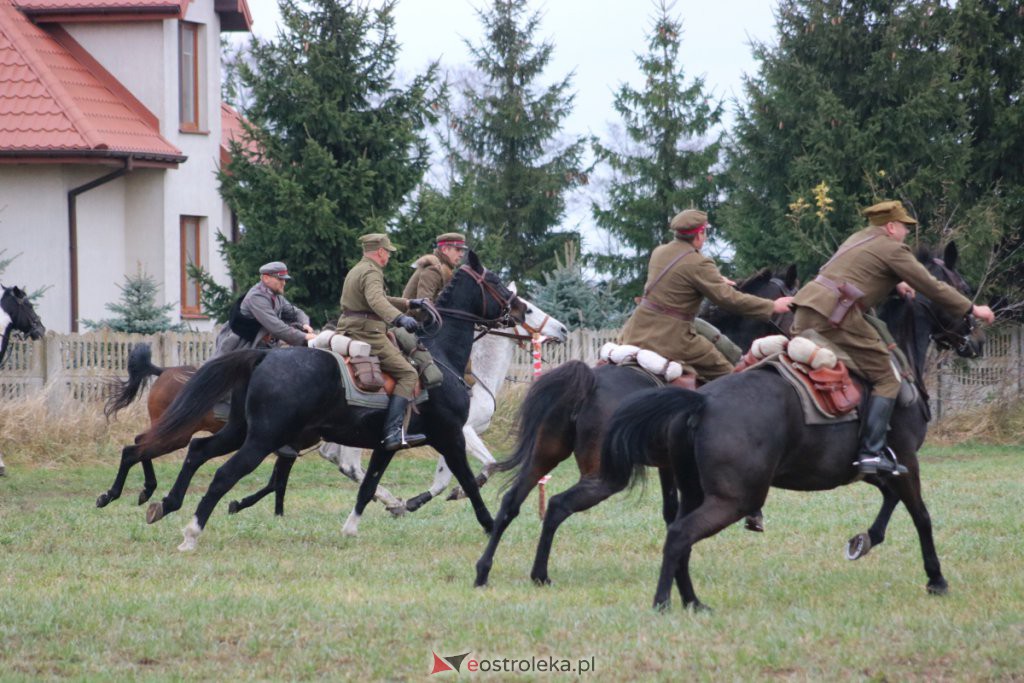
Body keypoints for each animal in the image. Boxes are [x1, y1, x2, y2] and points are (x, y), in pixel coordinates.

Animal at [136, 253, 524, 552]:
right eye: (497, 283)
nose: (518, 310)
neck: (441, 355)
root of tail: (263, 356)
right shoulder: (451, 436)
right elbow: (469, 481)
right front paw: (491, 525)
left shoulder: (387, 445)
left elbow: (368, 486)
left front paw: (351, 528)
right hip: (261, 439)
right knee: (222, 475)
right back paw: (191, 533)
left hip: (240, 431)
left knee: (198, 451)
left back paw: (165, 505)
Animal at [317, 294, 569, 511]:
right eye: (528, 309)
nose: (563, 329)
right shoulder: (463, 431)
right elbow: (491, 463)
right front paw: (460, 491)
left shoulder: (452, 435)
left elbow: (443, 478)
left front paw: (417, 502)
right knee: (349, 464)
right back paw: (390, 500)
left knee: (333, 457)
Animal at [471, 266, 798, 589]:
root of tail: (587, 383)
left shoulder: (668, 466)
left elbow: (671, 513)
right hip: (605, 477)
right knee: (556, 505)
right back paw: (540, 573)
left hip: (544, 455)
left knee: (512, 501)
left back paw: (484, 571)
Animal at [602, 241, 987, 610]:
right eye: (964, 287)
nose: (978, 341)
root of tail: (702, 402)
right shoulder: (906, 461)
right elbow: (921, 515)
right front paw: (936, 579)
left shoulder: (872, 466)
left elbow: (890, 498)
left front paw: (863, 541)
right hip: (733, 499)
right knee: (680, 535)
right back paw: (664, 602)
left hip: (697, 492)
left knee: (678, 531)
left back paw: (692, 601)